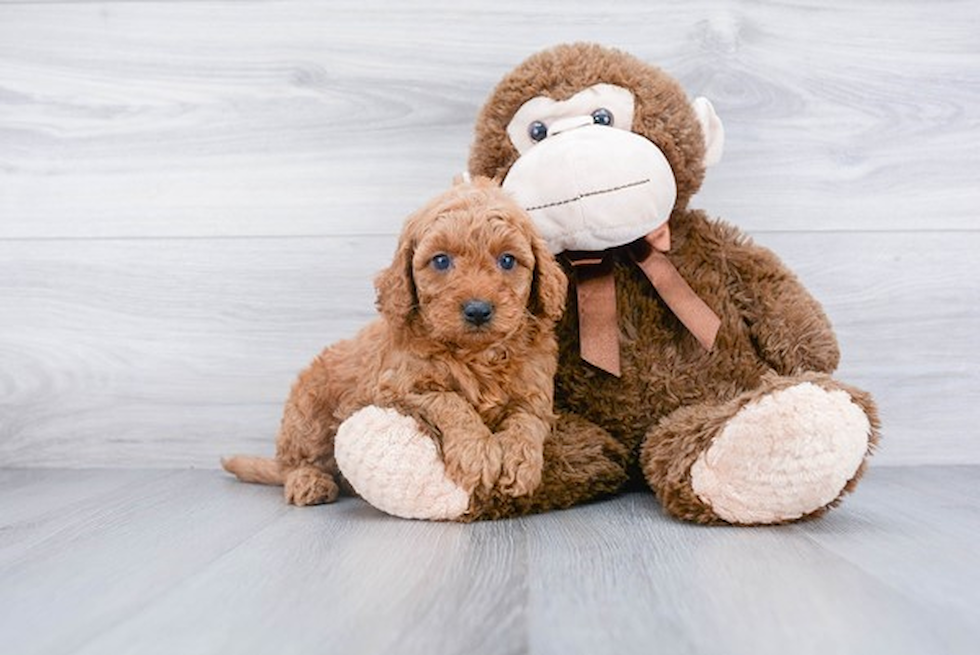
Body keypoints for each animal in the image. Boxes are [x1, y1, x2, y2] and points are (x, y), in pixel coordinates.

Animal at [222, 178, 568, 508]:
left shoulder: (535, 391)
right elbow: (450, 402)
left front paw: (519, 462)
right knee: (296, 462)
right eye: (441, 261)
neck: (476, 354)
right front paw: (478, 452)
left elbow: (527, 420)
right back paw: (308, 482)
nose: (478, 310)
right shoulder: (396, 387)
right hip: (308, 413)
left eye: (507, 260)